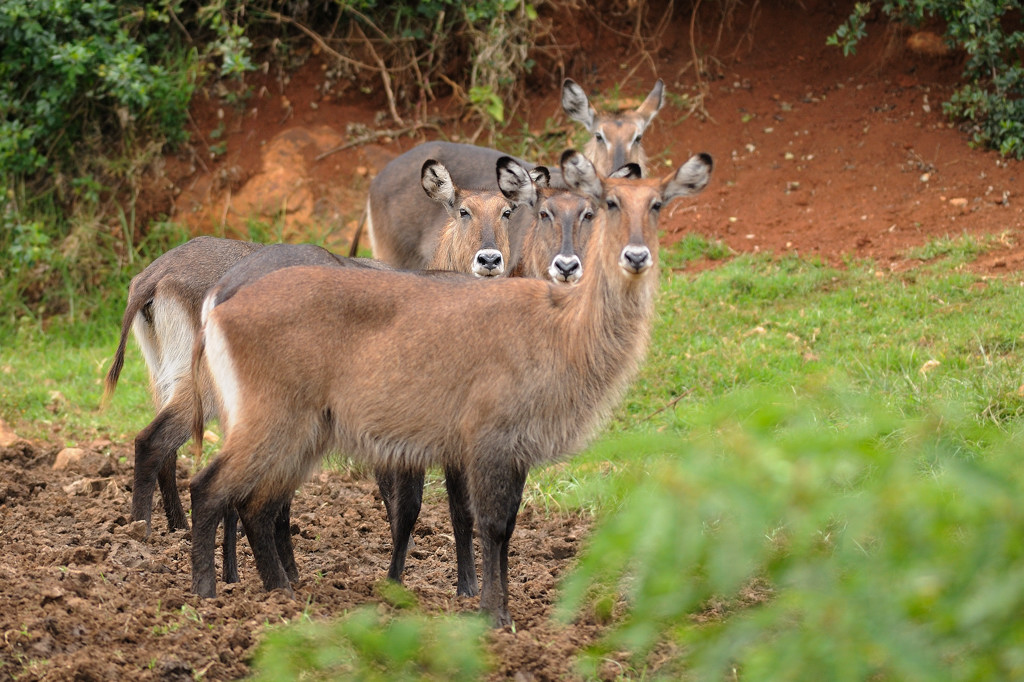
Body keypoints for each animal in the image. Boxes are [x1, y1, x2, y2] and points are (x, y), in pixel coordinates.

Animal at [186, 147, 712, 622]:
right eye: (608, 203)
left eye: (656, 204)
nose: (633, 256)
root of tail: (221, 299)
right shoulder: (472, 440)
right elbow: (468, 519)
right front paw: (479, 609)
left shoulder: (505, 447)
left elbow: (492, 520)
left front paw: (478, 598)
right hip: (276, 421)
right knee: (213, 488)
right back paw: (212, 594)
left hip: (302, 432)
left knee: (259, 504)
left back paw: (279, 591)